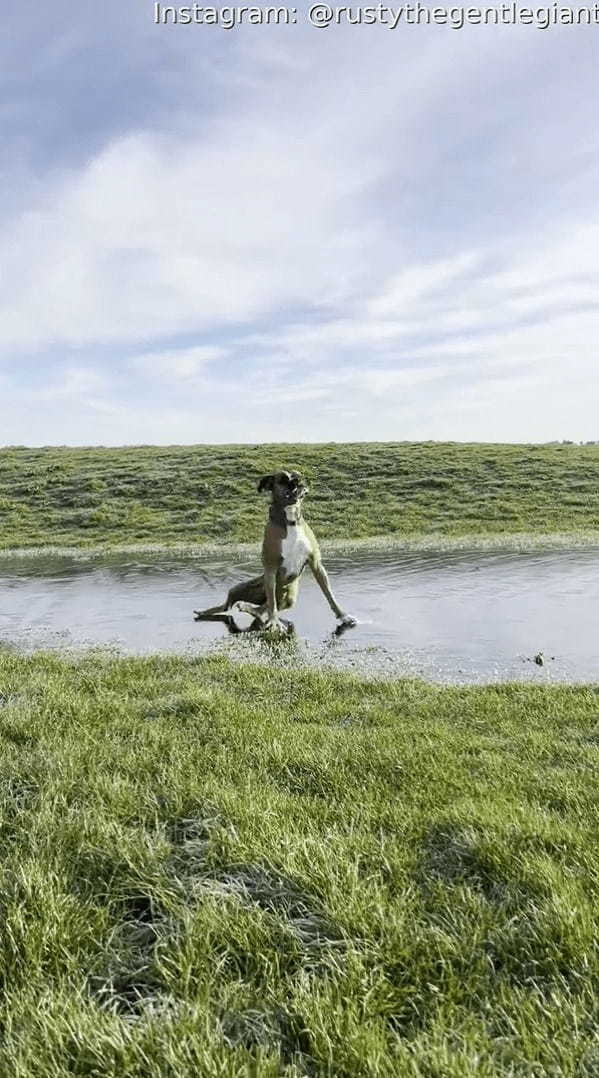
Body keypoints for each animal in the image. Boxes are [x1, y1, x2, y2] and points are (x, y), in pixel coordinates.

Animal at [193, 470, 357, 629]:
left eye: (297, 474)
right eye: (283, 479)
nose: (297, 480)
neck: (290, 521)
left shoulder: (316, 564)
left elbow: (329, 594)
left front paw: (343, 616)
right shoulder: (271, 568)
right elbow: (272, 601)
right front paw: (274, 622)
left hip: (289, 598)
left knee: (261, 608)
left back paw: (249, 608)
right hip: (241, 587)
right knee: (235, 605)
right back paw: (206, 612)